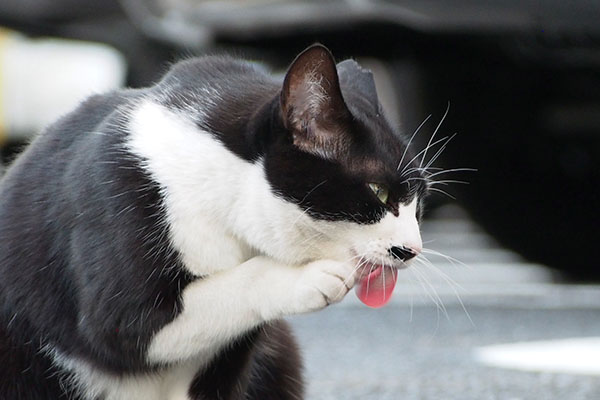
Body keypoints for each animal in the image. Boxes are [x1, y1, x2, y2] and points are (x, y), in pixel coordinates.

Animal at [0, 44, 426, 400]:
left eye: (418, 200)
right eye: (378, 192)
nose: (412, 250)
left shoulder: (230, 361)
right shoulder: (116, 220)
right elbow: (137, 323)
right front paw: (308, 278)